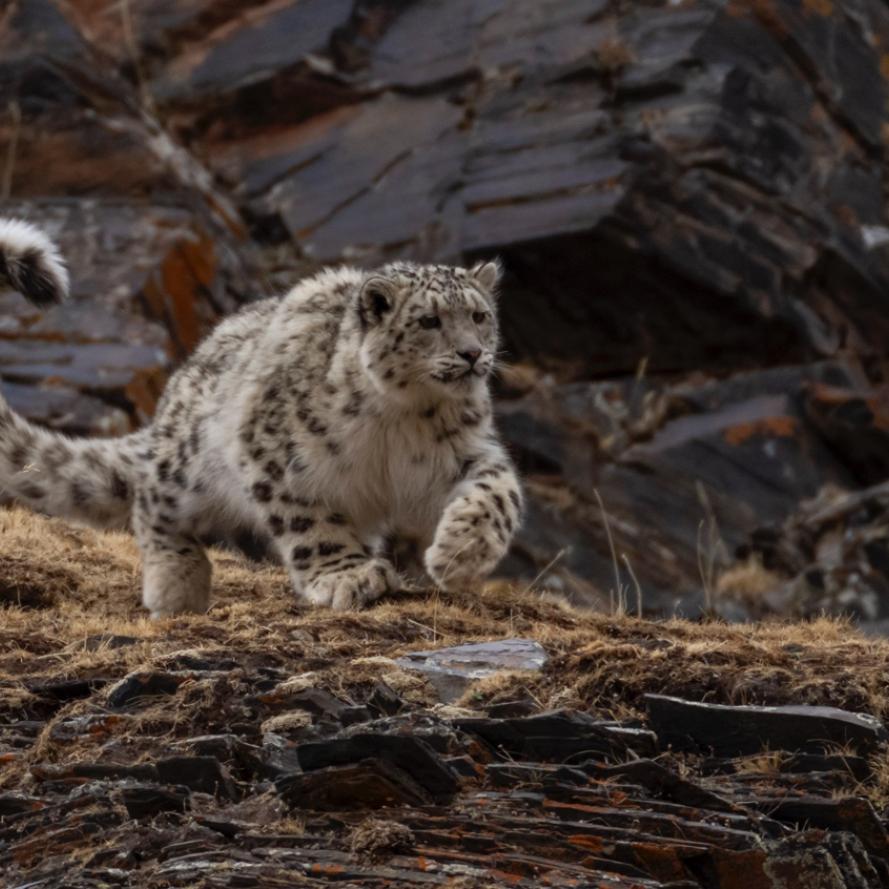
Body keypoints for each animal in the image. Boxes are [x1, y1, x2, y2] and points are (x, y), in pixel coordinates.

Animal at [0, 218, 523, 617]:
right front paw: (348, 576)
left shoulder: (466, 450)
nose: (472, 354)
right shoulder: (275, 454)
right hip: (188, 467)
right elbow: (313, 525)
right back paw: (177, 582)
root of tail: (178, 385)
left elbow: (496, 493)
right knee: (152, 500)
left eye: (479, 316)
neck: (404, 416)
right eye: (429, 321)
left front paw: (461, 552)